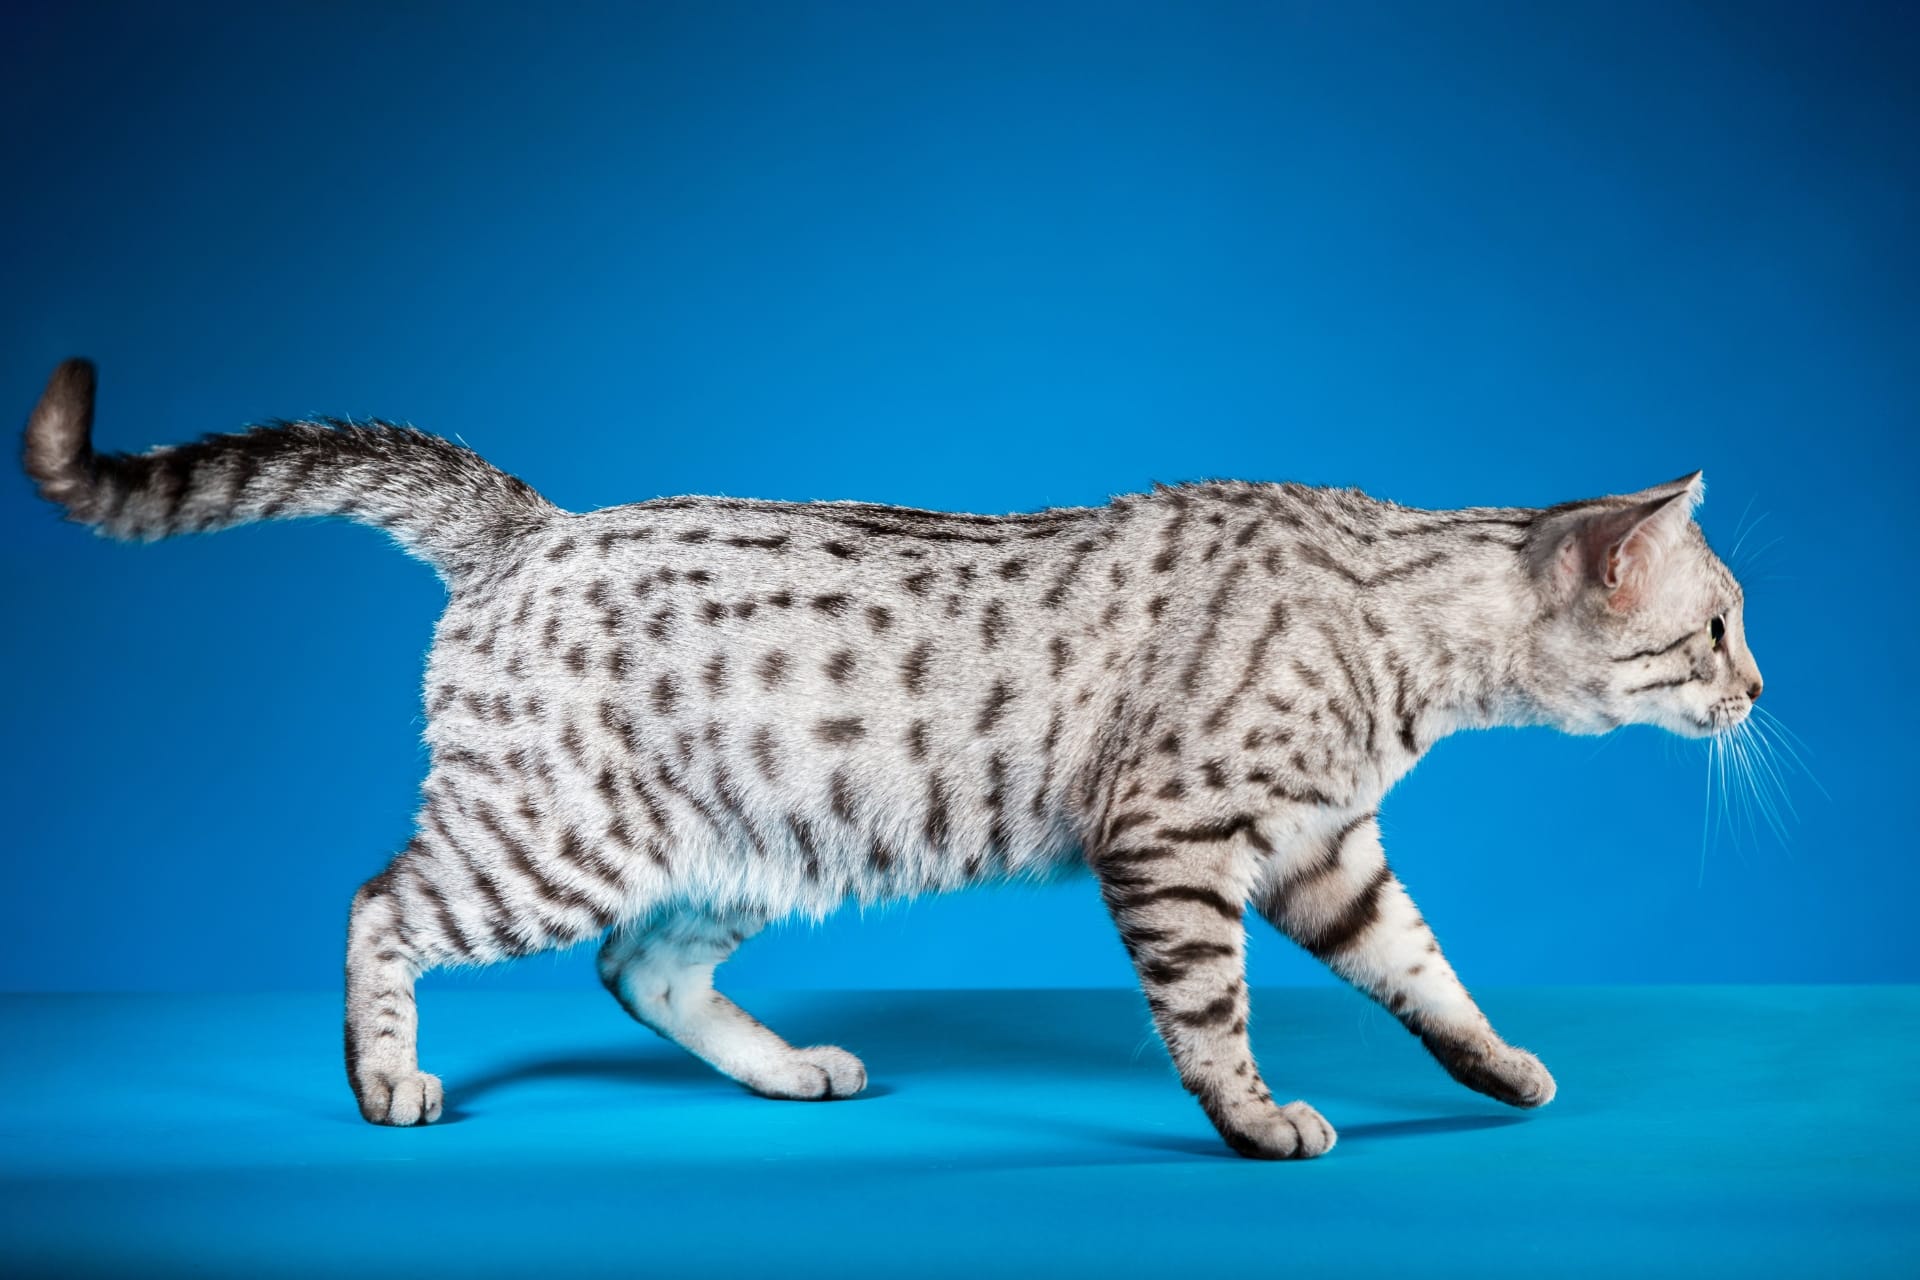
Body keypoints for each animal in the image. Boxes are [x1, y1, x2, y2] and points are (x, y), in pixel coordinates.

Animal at [15, 360, 1758, 1159]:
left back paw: (787, 1068)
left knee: (638, 972)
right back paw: (385, 1079)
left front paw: (1502, 1068)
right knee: (381, 904)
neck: (1404, 637)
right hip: (552, 838)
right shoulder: (1175, 840)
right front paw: (1260, 1123)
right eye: (1724, 627)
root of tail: (533, 524)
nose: (1760, 687)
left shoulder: (1331, 851)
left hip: (740, 842)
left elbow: (1429, 974)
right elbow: (1212, 1018)